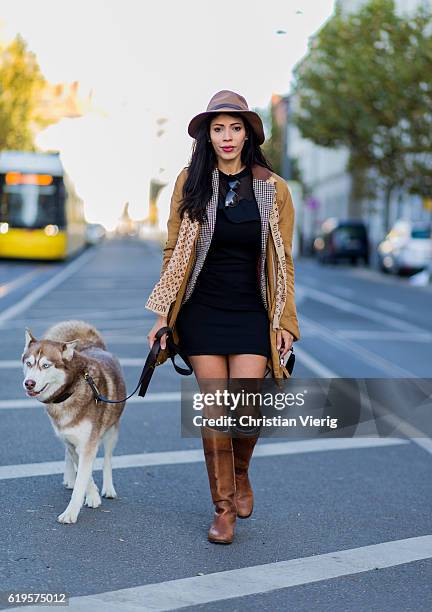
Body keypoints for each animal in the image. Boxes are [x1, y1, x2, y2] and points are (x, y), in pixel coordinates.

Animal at [21, 318, 126, 524]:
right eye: (29, 363)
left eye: (46, 366)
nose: (29, 383)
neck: (68, 393)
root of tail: (93, 345)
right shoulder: (74, 442)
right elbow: (84, 475)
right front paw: (92, 495)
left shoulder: (87, 444)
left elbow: (82, 481)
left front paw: (71, 512)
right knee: (69, 454)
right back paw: (70, 477)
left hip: (112, 432)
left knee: (107, 460)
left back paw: (108, 488)